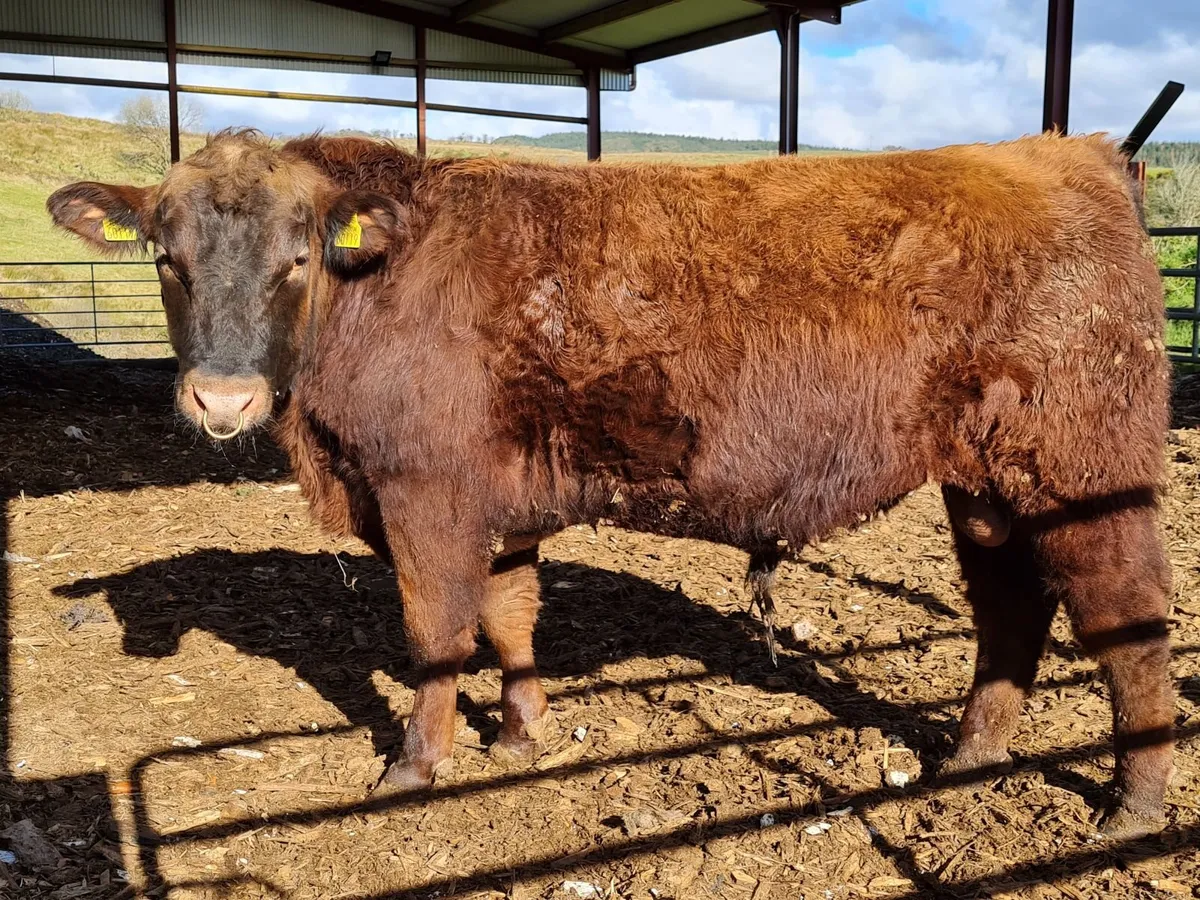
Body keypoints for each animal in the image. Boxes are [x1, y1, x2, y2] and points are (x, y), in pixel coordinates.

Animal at [47, 130, 1173, 839]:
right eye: (166, 255)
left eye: (297, 255)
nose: (223, 398)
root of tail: (1068, 151)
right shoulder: (498, 504)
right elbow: (509, 614)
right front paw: (521, 734)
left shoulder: (424, 494)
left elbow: (434, 634)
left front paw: (414, 765)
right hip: (986, 486)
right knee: (1010, 609)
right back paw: (968, 760)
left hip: (1088, 475)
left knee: (1127, 621)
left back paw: (1136, 804)